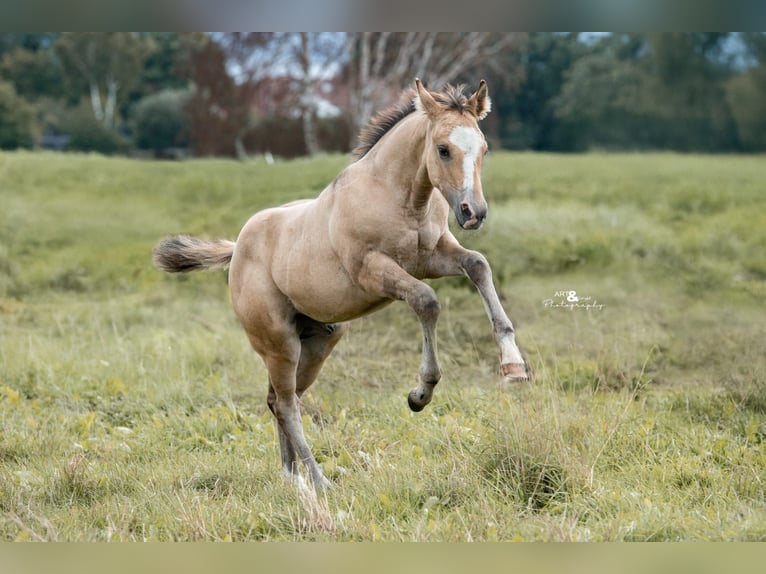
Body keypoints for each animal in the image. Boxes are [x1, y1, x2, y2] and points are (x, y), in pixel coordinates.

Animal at [153, 79, 528, 490]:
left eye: (484, 148)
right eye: (443, 149)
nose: (473, 213)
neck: (399, 199)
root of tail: (237, 249)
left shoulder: (431, 257)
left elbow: (478, 266)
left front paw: (513, 365)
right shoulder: (373, 271)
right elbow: (426, 300)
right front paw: (420, 394)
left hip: (318, 343)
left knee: (277, 400)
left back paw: (292, 479)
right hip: (279, 345)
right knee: (287, 403)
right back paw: (318, 481)